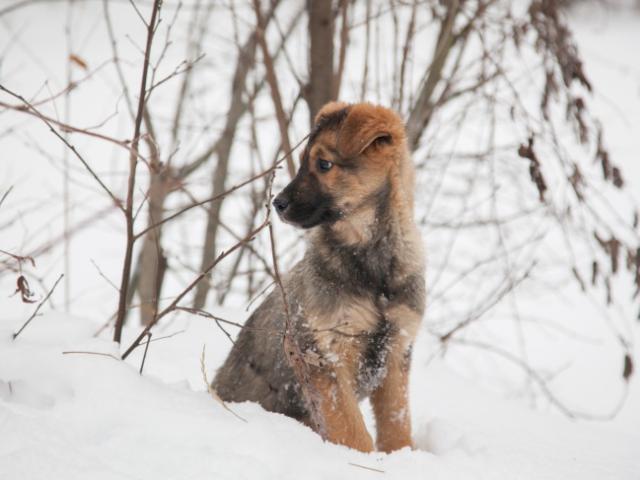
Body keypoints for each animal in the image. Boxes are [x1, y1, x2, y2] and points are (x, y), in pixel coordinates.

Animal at [212, 101, 428, 454]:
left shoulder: (396, 350)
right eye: (302, 162)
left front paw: (401, 457)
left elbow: (397, 426)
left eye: (324, 164)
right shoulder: (324, 353)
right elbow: (353, 432)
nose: (277, 203)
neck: (372, 264)